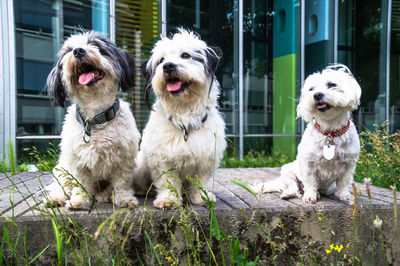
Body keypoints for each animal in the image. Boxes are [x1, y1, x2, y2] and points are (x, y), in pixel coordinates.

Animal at [44, 31, 140, 210]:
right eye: (69, 50)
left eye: (97, 46)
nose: (78, 51)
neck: (96, 118)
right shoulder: (77, 161)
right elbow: (80, 183)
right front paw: (79, 201)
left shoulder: (124, 159)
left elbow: (121, 182)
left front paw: (124, 199)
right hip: (61, 169)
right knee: (61, 187)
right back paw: (56, 198)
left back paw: (105, 195)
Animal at [134, 29, 227, 210]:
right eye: (161, 60)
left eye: (185, 55)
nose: (168, 65)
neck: (184, 118)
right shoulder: (163, 160)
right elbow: (167, 182)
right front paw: (168, 200)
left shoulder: (205, 157)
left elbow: (199, 181)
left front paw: (200, 198)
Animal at [256, 65, 362, 204]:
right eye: (311, 89)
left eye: (332, 84)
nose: (317, 95)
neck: (330, 131)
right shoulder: (308, 163)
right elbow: (310, 181)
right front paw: (310, 195)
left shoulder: (349, 163)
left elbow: (344, 182)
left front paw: (345, 196)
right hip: (288, 172)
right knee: (295, 188)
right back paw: (290, 193)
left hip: (328, 186)